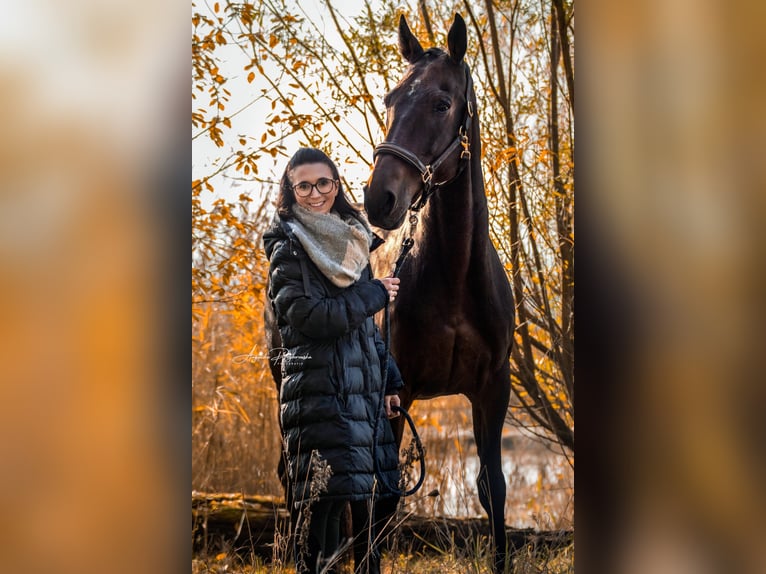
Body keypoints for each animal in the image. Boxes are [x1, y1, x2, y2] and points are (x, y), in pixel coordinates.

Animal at [366, 13, 516, 574]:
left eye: (441, 103)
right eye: (391, 99)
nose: (380, 198)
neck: (455, 280)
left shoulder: (493, 389)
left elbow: (493, 490)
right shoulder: (398, 393)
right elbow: (383, 500)